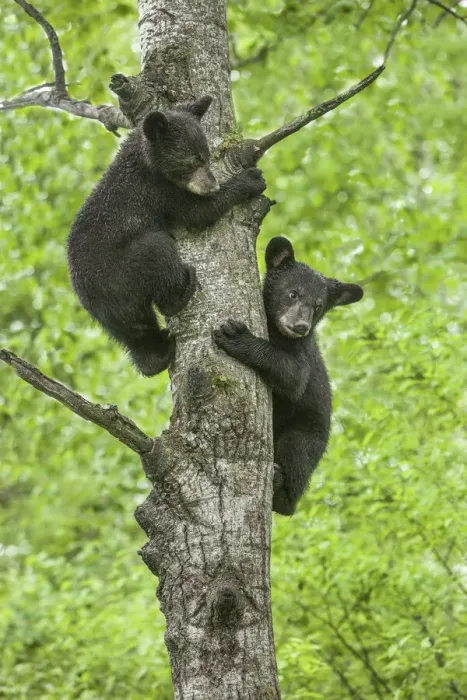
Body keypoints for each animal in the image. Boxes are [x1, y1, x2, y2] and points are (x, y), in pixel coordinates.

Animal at [67, 95, 266, 376]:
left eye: (207, 157)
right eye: (193, 160)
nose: (212, 184)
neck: (145, 163)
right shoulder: (156, 191)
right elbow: (199, 212)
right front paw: (249, 179)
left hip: (111, 313)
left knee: (134, 332)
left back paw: (155, 357)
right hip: (121, 270)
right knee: (157, 252)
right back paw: (183, 291)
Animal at [213, 236, 364, 516]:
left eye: (318, 306)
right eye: (293, 293)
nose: (300, 326)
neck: (277, 332)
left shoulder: (302, 352)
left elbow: (293, 376)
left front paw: (236, 337)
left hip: (307, 434)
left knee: (296, 459)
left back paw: (280, 486)